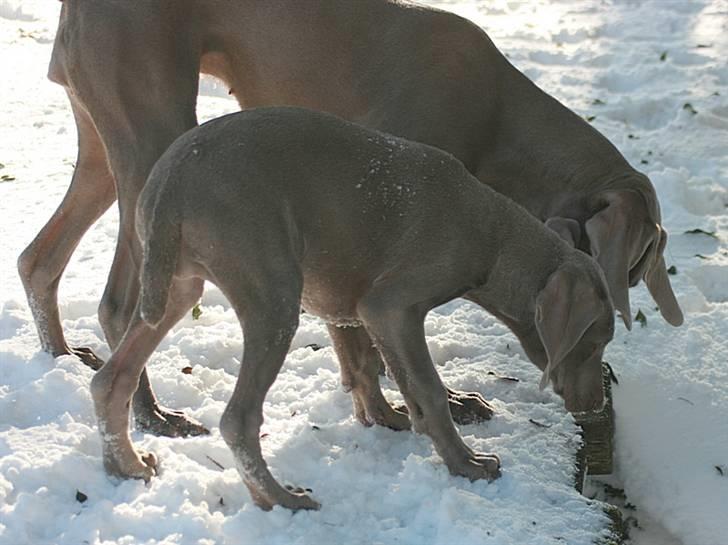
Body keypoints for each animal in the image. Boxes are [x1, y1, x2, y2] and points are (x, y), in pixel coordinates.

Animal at [22, 0, 684, 434]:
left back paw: (62, 356)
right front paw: (412, 408)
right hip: (153, 140)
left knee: (37, 259)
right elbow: (372, 340)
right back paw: (149, 413)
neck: (500, 115)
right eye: (623, 282)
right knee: (120, 303)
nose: (596, 409)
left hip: (107, 151)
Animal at [89, 106, 616, 510]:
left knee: (112, 379)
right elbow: (428, 387)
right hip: (273, 295)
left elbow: (379, 371)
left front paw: (393, 419)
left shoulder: (362, 308)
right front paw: (465, 463)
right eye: (594, 343)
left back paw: (126, 466)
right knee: (238, 418)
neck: (494, 235)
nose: (595, 408)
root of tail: (171, 177)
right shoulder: (390, 306)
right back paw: (279, 500)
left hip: (179, 287)